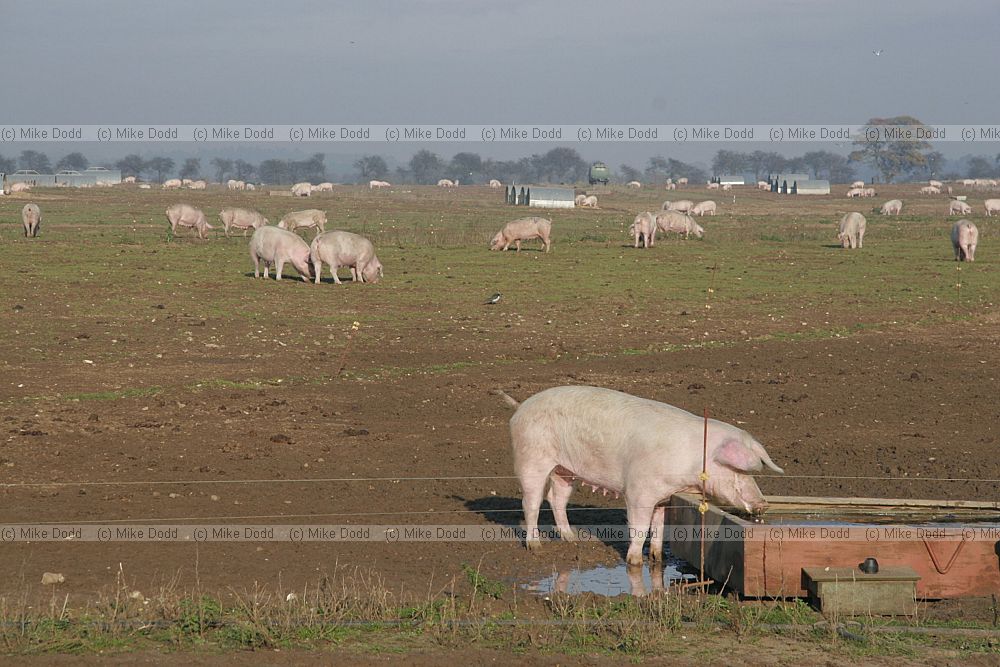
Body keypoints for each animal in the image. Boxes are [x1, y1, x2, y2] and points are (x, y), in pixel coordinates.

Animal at [501, 386, 783, 565]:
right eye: (739, 470)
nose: (764, 503)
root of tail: (521, 406)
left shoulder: (664, 497)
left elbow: (659, 527)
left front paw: (658, 558)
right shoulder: (639, 491)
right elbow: (639, 526)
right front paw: (635, 561)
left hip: (565, 470)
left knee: (556, 498)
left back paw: (572, 539)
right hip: (531, 458)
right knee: (531, 502)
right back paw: (535, 547)